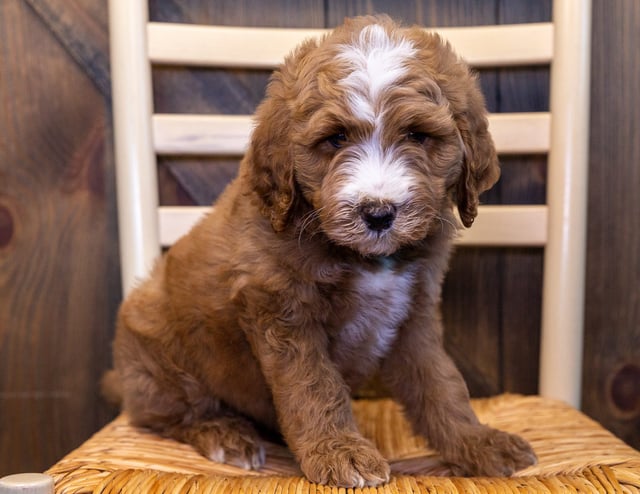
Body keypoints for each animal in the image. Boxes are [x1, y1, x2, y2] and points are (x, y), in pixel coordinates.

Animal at [107, 14, 536, 486]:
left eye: (417, 135)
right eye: (335, 139)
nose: (378, 212)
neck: (363, 256)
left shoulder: (414, 312)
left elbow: (440, 382)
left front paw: (476, 442)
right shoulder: (281, 310)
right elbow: (313, 385)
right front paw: (339, 451)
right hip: (159, 356)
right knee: (171, 415)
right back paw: (225, 434)